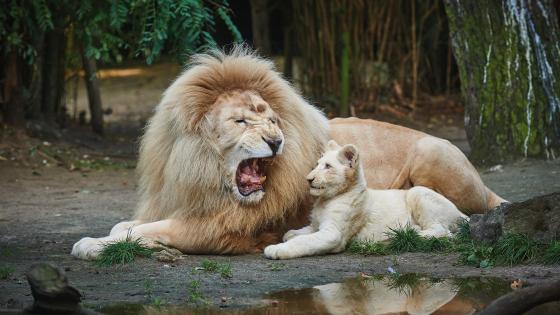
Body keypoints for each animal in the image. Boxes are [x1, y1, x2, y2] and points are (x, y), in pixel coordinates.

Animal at [264, 141, 466, 260]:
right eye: (317, 165)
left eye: (328, 166)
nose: (308, 179)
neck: (325, 200)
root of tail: (460, 212)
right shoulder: (316, 226)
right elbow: (295, 234)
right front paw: (290, 234)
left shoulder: (333, 234)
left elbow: (304, 242)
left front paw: (275, 249)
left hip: (417, 192)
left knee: (443, 232)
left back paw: (402, 234)